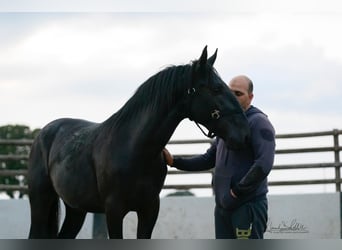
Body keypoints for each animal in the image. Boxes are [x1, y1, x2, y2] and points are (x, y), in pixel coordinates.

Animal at [27, 47, 248, 238]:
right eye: (217, 89)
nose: (245, 133)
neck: (135, 149)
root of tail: (44, 133)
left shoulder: (149, 210)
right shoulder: (114, 211)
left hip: (76, 209)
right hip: (40, 204)